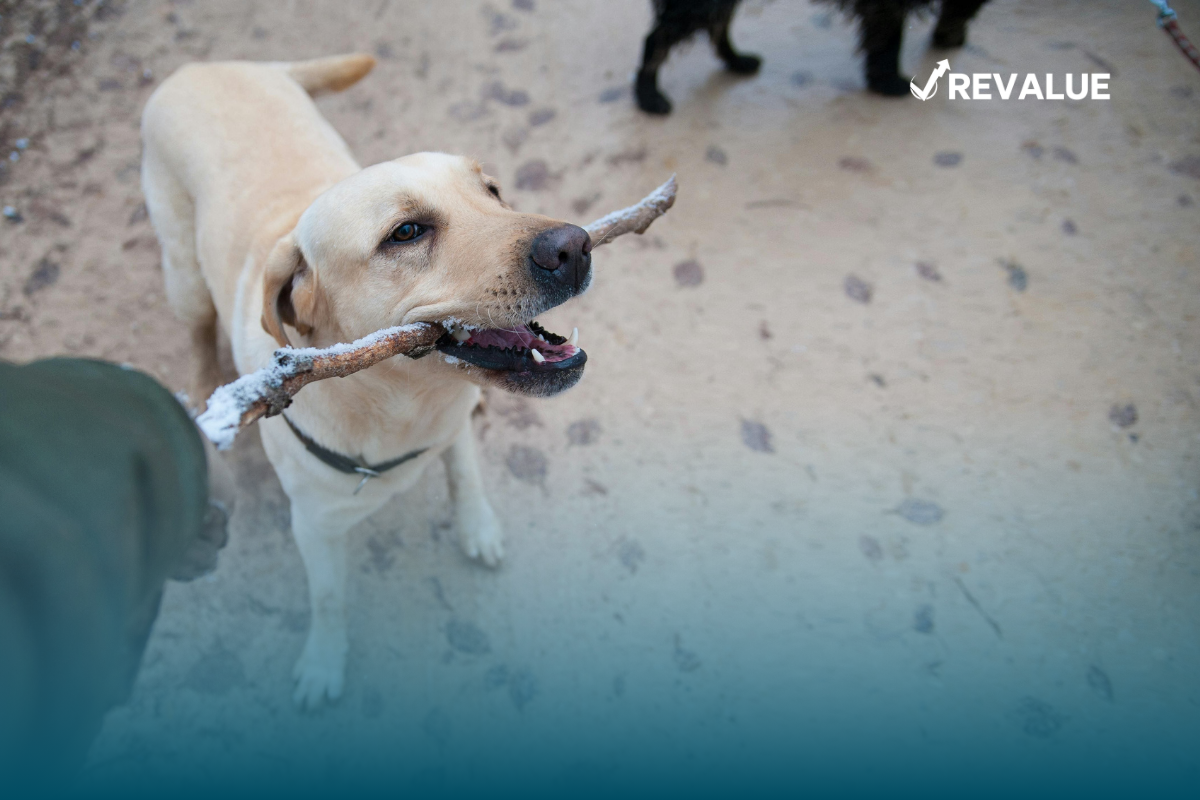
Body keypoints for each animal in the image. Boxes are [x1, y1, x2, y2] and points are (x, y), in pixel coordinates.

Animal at [141, 54, 590, 705]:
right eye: (405, 232)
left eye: (492, 191)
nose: (576, 246)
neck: (403, 404)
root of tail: (206, 64)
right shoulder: (314, 528)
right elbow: (330, 600)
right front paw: (324, 663)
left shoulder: (451, 426)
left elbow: (465, 475)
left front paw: (478, 527)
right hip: (183, 275)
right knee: (199, 328)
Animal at [638, 0, 993, 113]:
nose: (953, 41)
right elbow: (889, 37)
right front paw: (889, 81)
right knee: (657, 39)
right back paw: (649, 95)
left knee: (717, 25)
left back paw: (737, 61)